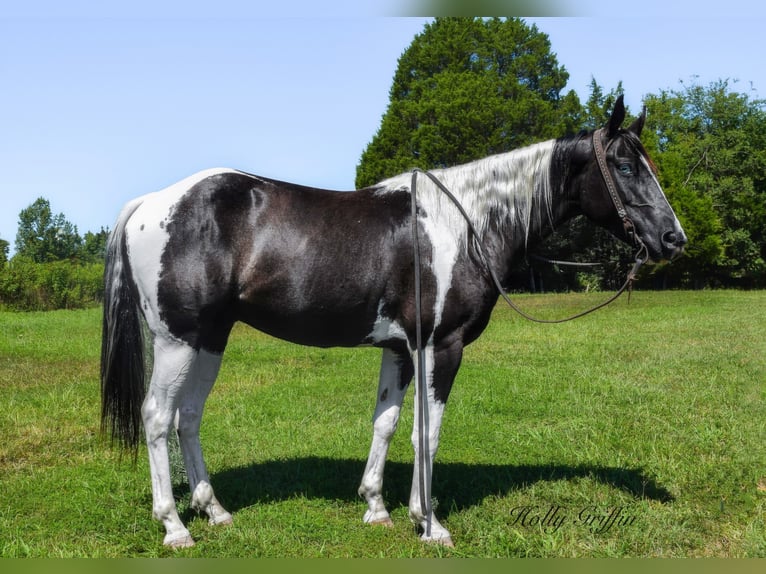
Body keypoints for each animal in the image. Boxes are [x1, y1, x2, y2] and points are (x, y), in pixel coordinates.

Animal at [100, 95, 688, 548]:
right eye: (625, 166)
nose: (673, 239)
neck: (465, 224)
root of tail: (152, 203)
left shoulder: (400, 349)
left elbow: (385, 422)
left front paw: (376, 507)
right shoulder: (440, 346)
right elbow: (426, 432)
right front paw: (428, 523)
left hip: (210, 339)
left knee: (189, 417)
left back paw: (215, 510)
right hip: (177, 341)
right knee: (157, 417)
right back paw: (175, 527)